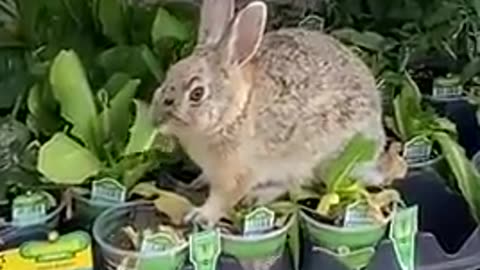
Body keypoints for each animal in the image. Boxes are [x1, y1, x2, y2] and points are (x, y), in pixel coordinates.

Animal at [150, 0, 386, 227]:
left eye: (197, 94)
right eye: (170, 73)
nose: (156, 120)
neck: (235, 113)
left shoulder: (238, 174)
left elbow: (223, 198)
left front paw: (200, 216)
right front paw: (198, 183)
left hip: (319, 158)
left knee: (299, 185)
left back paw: (257, 196)